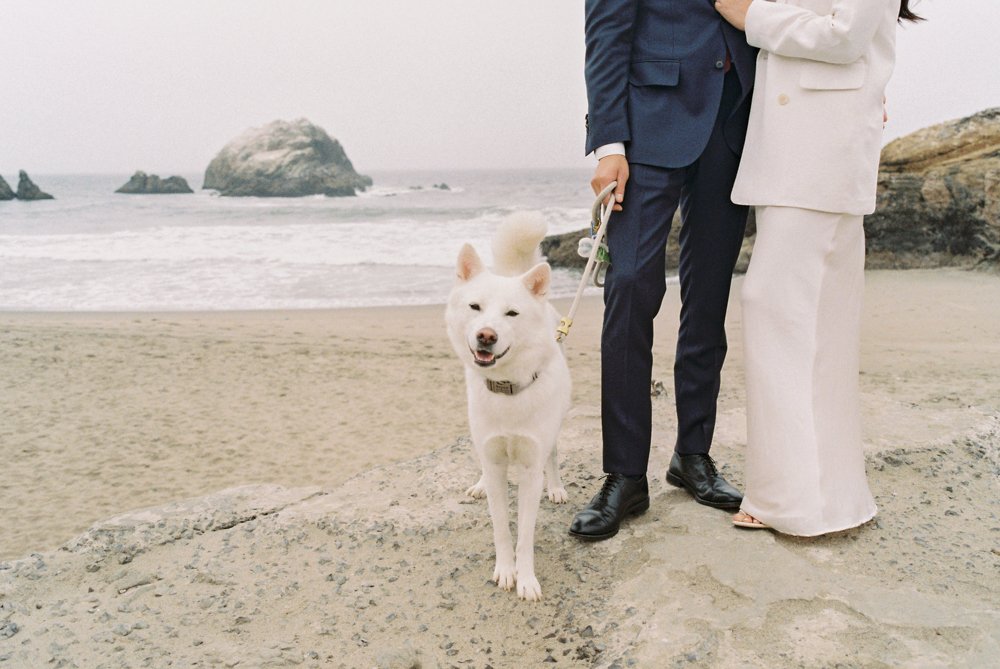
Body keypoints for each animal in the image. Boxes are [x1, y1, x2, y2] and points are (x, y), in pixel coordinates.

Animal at [446, 213, 572, 600]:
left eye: (512, 313)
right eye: (475, 307)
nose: (486, 336)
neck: (507, 390)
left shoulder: (530, 469)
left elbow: (525, 535)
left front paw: (526, 578)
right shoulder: (493, 457)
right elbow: (501, 526)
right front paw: (505, 570)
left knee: (553, 455)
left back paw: (556, 486)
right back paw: (479, 484)